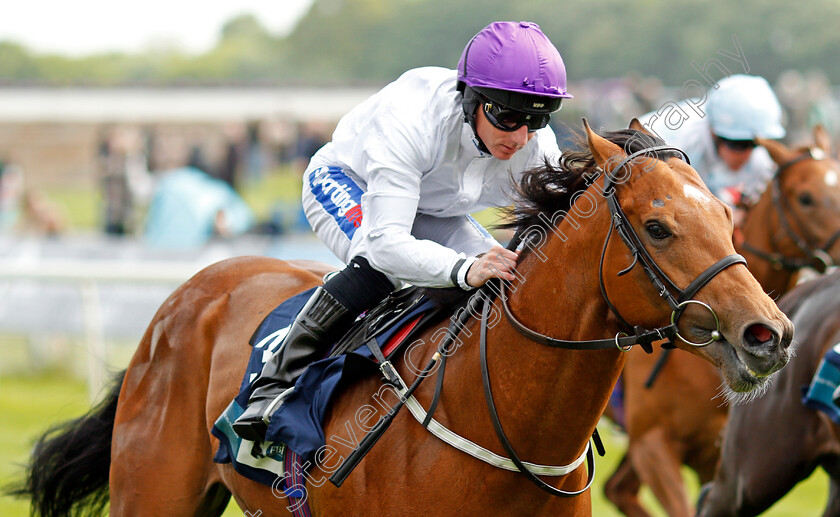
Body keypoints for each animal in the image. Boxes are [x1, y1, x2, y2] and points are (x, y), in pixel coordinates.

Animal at [11, 121, 796, 516]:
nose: (771, 334)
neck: (503, 420)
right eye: (659, 227)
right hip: (153, 493)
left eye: (727, 213)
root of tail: (188, 295)